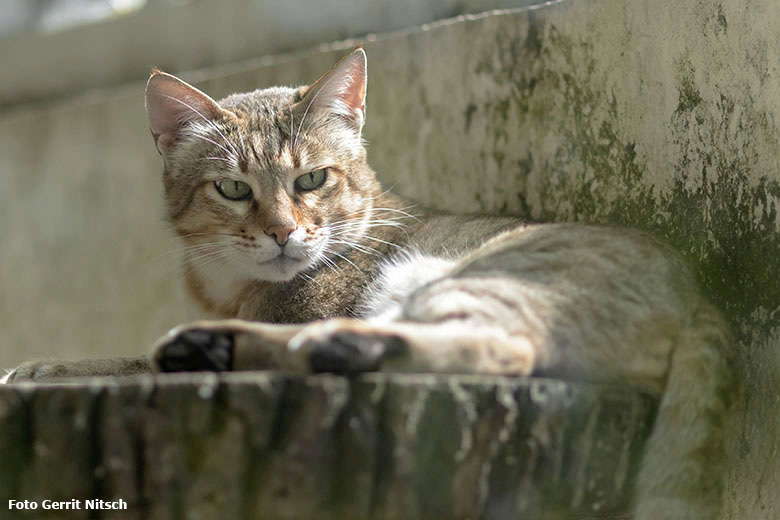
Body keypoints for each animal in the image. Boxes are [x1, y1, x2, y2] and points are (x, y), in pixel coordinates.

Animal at [9, 48, 736, 520]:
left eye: (311, 179)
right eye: (233, 189)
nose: (282, 233)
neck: (227, 287)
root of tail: (700, 297)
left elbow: (125, 356)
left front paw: (45, 366)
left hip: (465, 281)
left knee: (502, 348)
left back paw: (321, 346)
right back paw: (222, 347)